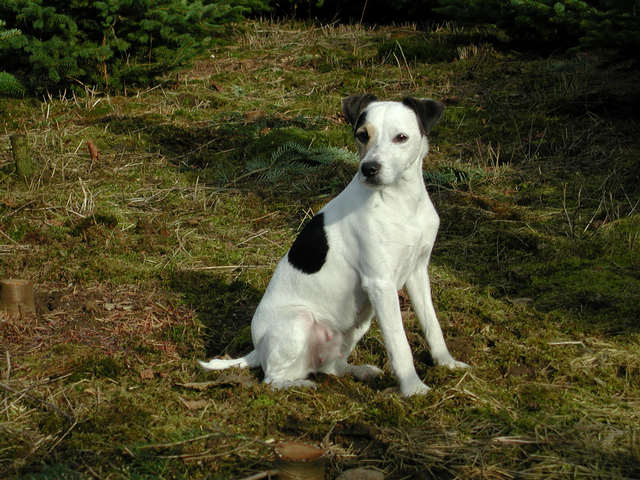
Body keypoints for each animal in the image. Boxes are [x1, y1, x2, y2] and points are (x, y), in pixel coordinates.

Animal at [200, 94, 470, 398]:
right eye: (362, 135)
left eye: (401, 137)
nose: (369, 169)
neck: (401, 202)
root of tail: (257, 349)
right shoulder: (381, 283)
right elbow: (399, 344)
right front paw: (413, 388)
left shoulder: (417, 273)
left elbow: (432, 326)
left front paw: (446, 364)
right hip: (300, 321)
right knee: (271, 379)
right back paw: (300, 384)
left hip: (357, 324)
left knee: (330, 367)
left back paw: (359, 371)